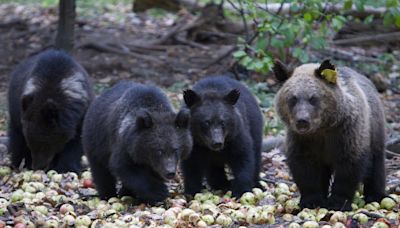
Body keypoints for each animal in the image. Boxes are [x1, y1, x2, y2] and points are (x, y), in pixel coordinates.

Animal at [274, 59, 386, 211]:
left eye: (313, 98)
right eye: (293, 98)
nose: (302, 121)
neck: (322, 129)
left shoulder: (347, 133)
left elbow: (348, 167)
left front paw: (338, 202)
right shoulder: (302, 140)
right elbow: (305, 168)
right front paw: (312, 200)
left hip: (375, 130)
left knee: (376, 164)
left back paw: (376, 195)